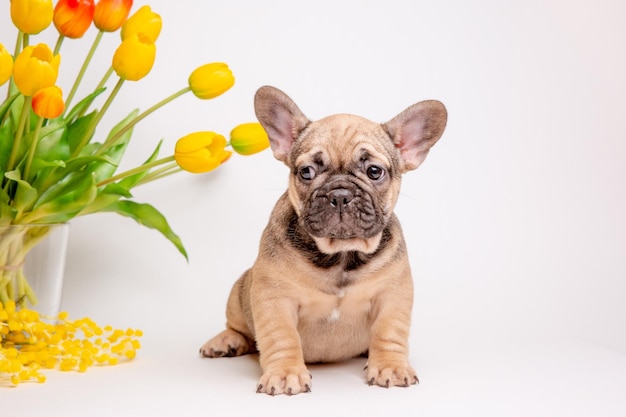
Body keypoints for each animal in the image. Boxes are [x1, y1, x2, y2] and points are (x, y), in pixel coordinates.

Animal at [197, 85, 446, 394]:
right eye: (306, 172)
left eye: (374, 171)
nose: (339, 194)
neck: (341, 254)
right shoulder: (273, 297)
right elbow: (281, 336)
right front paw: (285, 373)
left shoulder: (393, 294)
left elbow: (389, 331)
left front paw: (390, 365)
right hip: (240, 289)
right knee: (238, 326)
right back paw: (226, 340)